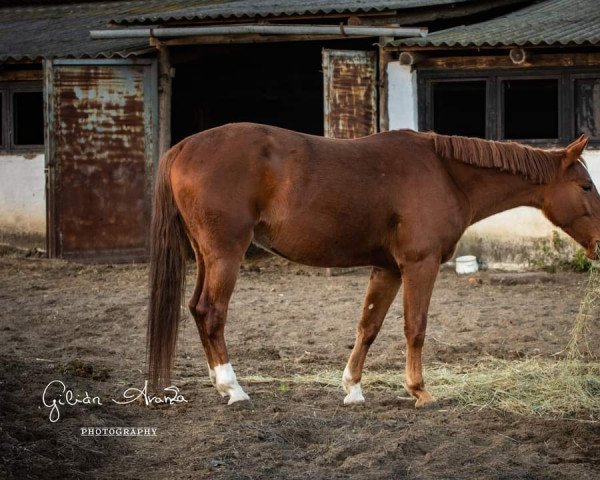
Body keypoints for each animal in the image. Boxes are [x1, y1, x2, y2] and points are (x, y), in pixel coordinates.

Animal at [146, 122, 600, 406]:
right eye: (584, 185)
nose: (599, 244)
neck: (445, 173)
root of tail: (182, 147)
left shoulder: (389, 268)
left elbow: (368, 326)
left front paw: (353, 388)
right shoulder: (419, 265)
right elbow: (415, 327)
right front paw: (419, 391)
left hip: (206, 256)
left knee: (197, 309)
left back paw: (220, 385)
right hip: (226, 253)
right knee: (212, 312)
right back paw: (234, 389)